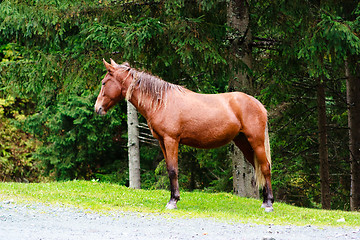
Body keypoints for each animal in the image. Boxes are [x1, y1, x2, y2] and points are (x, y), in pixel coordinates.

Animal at [94, 59, 274, 211]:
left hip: (256, 142)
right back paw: (265, 201)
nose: (98, 108)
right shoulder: (162, 142)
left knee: (265, 167)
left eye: (104, 83)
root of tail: (258, 104)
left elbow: (174, 170)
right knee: (259, 167)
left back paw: (269, 204)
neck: (161, 101)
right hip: (244, 143)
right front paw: (173, 197)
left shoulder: (171, 140)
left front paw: (173, 201)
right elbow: (169, 169)